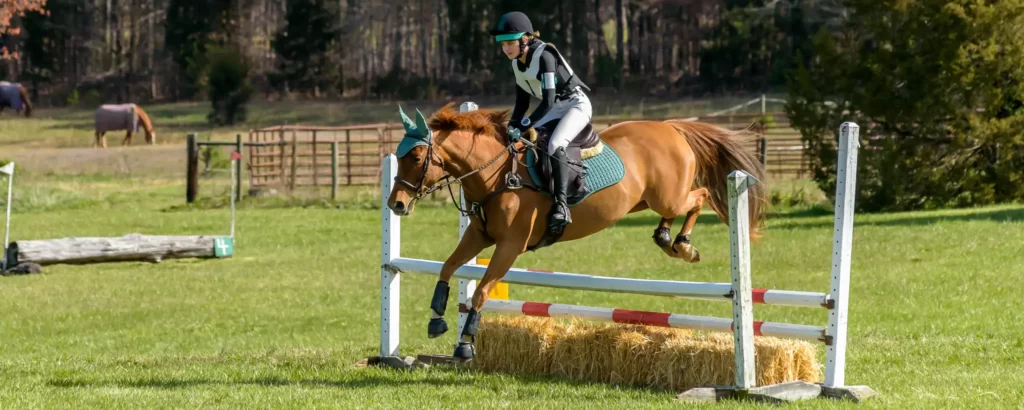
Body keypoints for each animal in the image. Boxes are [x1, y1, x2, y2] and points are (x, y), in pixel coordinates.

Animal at [386, 104, 768, 360]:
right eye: (399, 156)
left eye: (417, 156)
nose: (396, 205)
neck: (497, 174)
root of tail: (672, 127)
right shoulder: (479, 236)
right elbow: (448, 267)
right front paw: (436, 320)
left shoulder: (509, 245)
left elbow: (480, 291)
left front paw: (465, 345)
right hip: (644, 201)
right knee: (675, 210)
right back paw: (665, 237)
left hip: (669, 196)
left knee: (699, 196)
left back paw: (684, 245)